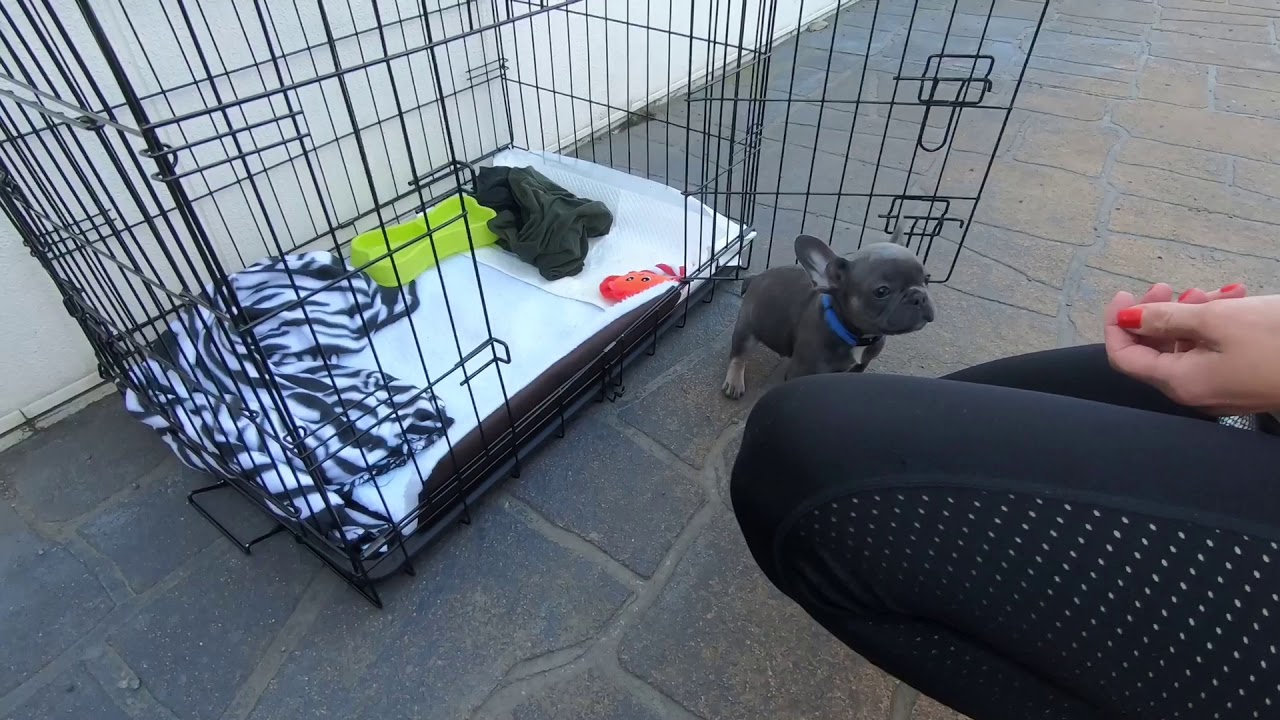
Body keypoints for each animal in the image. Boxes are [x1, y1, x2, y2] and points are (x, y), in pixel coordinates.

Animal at [721, 225, 942, 397]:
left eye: (927, 278)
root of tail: (754, 278)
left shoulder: (860, 366)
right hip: (747, 327)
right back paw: (735, 381)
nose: (918, 296)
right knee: (739, 354)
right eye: (882, 291)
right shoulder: (801, 372)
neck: (857, 337)